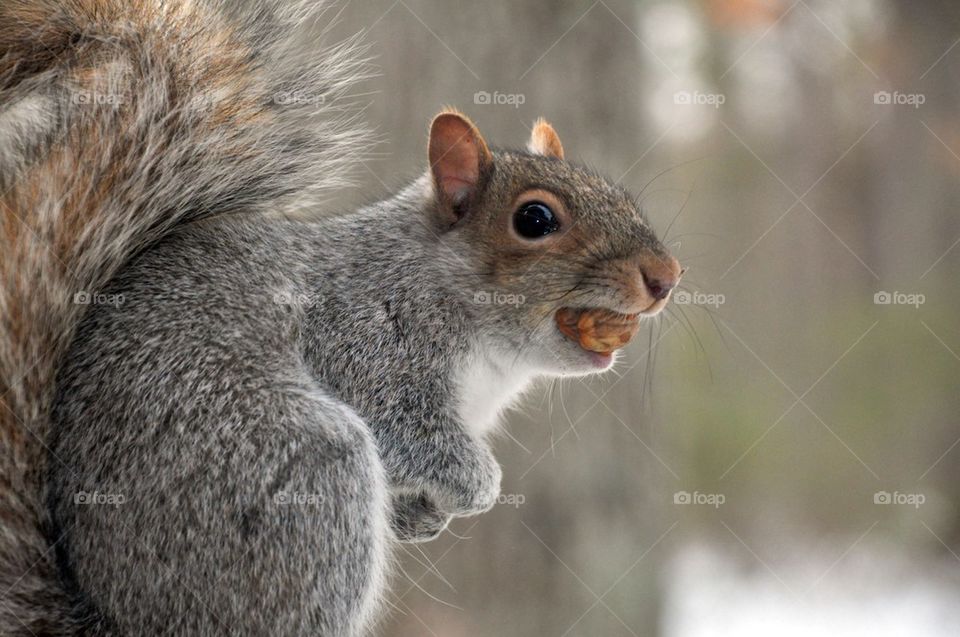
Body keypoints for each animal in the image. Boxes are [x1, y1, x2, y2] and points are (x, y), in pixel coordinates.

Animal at [0, 0, 682, 635]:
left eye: (619, 195)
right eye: (535, 220)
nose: (666, 278)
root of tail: (117, 619)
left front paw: (425, 515)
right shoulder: (362, 339)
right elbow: (407, 433)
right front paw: (477, 484)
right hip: (298, 464)